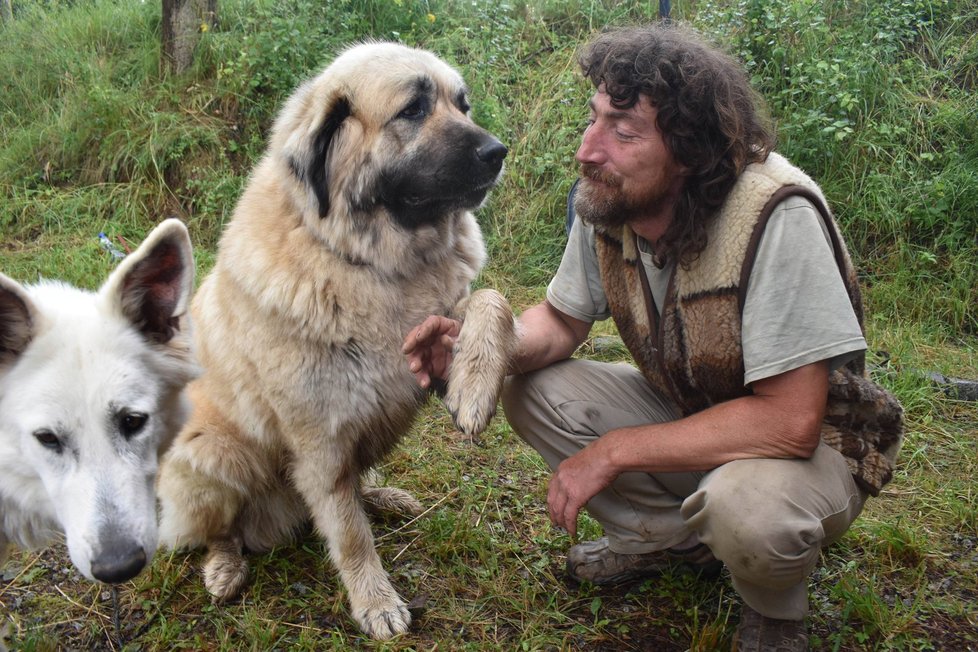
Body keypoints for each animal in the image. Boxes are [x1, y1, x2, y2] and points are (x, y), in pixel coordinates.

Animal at [154, 43, 510, 640]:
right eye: (413, 109)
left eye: (462, 105)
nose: (498, 151)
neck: (370, 264)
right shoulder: (321, 435)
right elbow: (348, 532)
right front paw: (376, 602)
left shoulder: (422, 351)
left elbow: (491, 298)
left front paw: (476, 386)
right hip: (214, 452)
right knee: (219, 529)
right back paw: (225, 566)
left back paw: (383, 496)